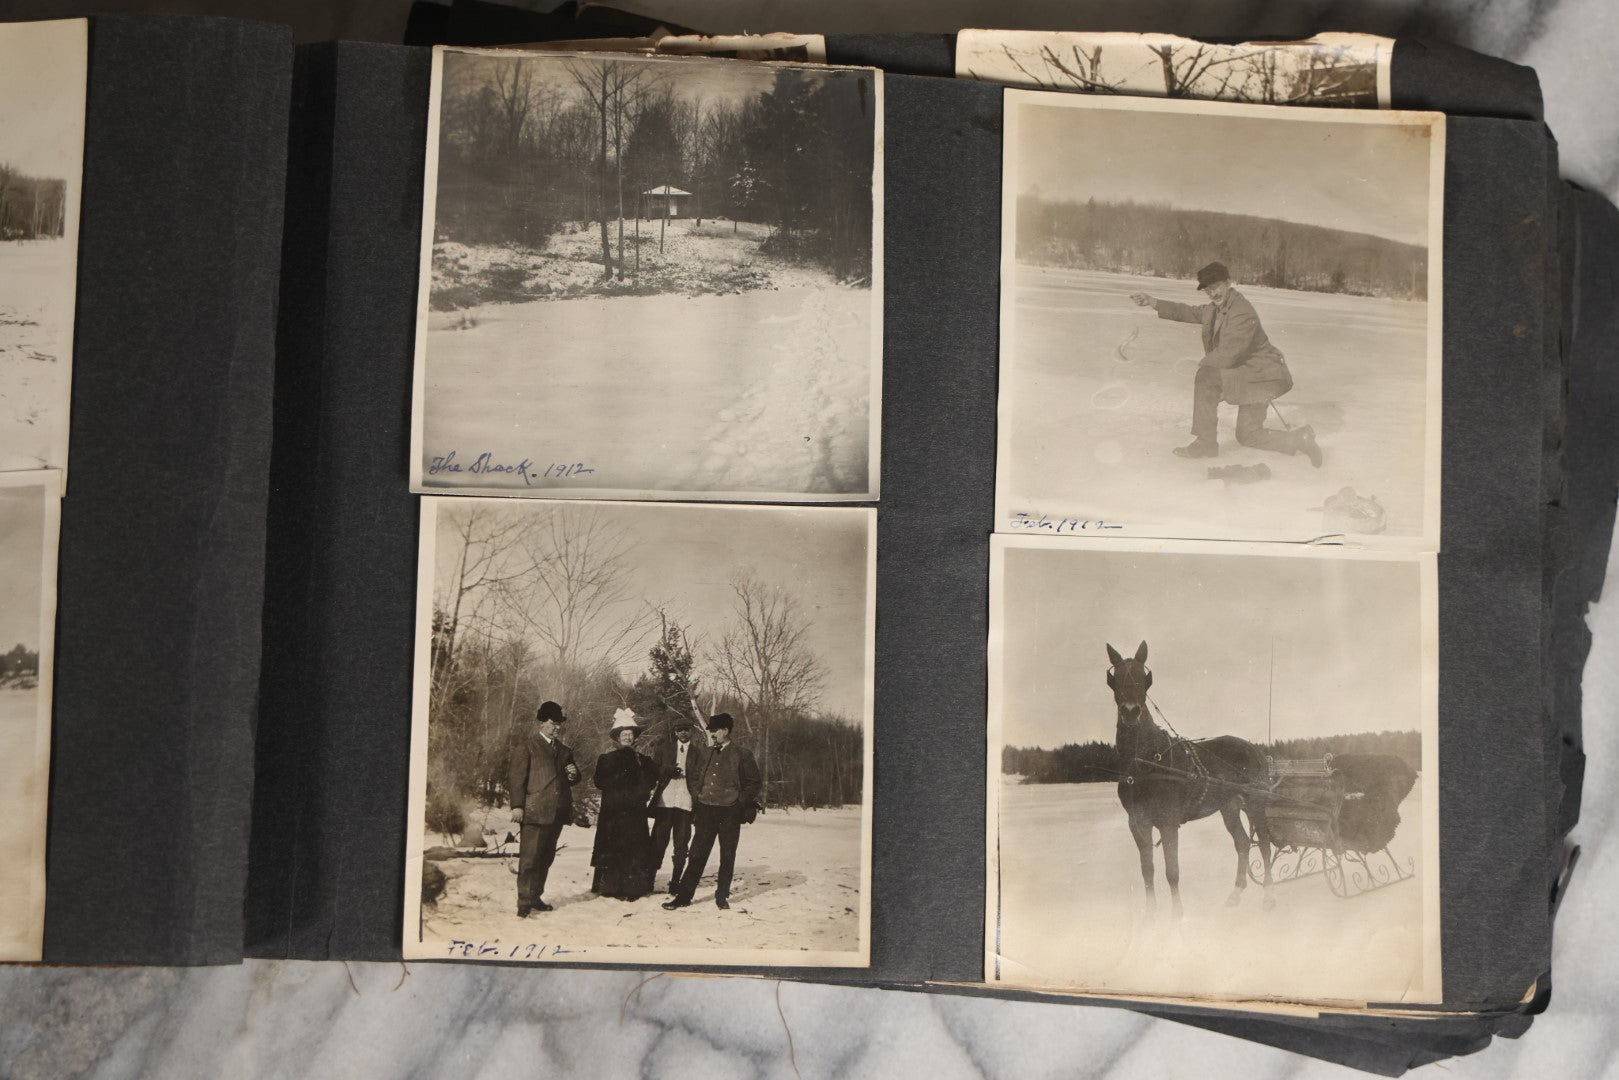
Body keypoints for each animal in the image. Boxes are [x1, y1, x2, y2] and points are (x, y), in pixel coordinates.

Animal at [1107, 647, 1269, 919]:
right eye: (1115, 677)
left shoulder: (1168, 822)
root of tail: (1254, 748)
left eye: (1143, 677)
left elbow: (1172, 871)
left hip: (1255, 802)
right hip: (1230, 806)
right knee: (1243, 842)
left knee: (1265, 844)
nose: (1130, 711)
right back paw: (1236, 893)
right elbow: (1147, 869)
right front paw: (1150, 914)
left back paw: (1270, 892)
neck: (1145, 762)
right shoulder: (1137, 822)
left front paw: (1177, 914)